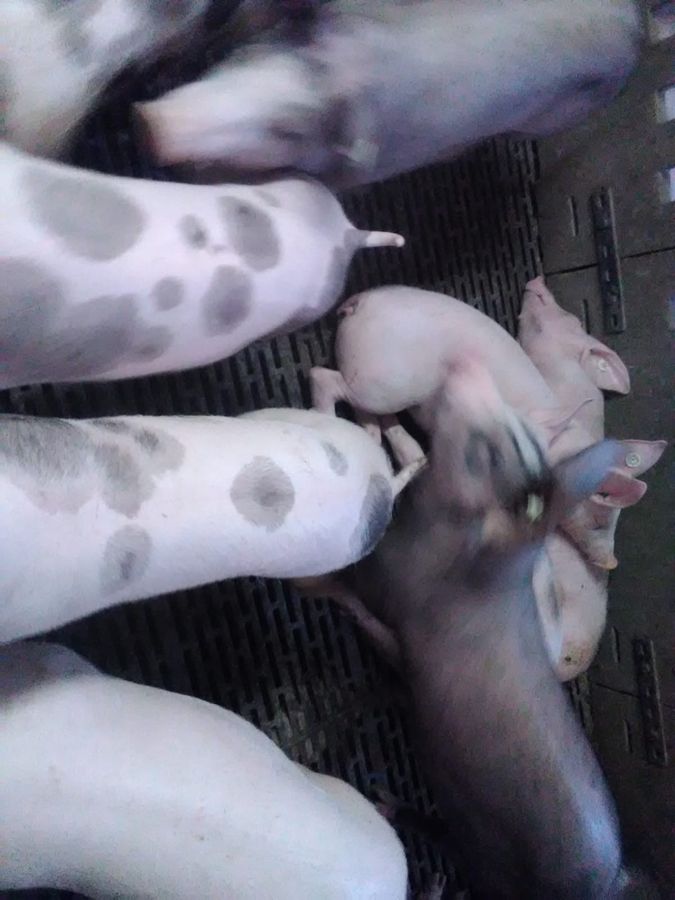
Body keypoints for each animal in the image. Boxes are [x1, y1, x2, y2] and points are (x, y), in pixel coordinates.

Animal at [297, 360, 638, 898]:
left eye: (497, 450)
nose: (465, 365)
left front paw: (301, 579)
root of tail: (608, 882)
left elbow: (343, 580)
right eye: (521, 435)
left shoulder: (389, 572)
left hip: (488, 858)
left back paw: (391, 812)